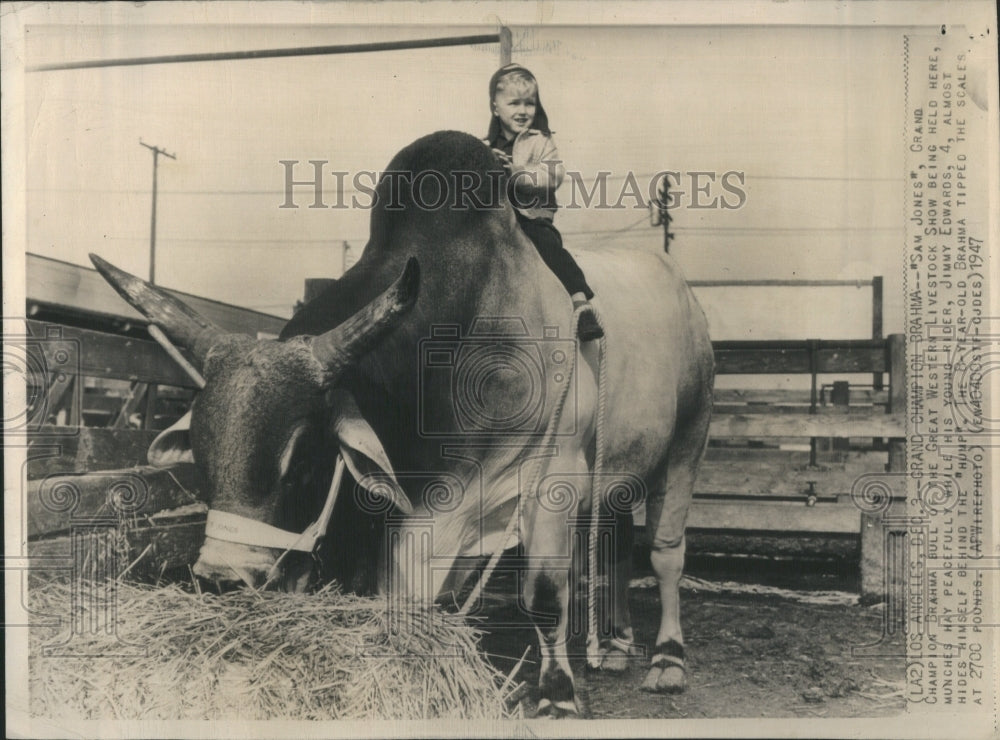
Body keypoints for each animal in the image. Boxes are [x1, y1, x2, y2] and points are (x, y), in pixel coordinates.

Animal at [86, 129, 712, 716]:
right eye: (203, 454)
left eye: (302, 462)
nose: (221, 580)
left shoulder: (550, 483)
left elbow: (544, 595)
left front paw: (557, 694)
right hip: (621, 468)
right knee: (618, 541)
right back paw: (616, 647)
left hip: (688, 440)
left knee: (663, 551)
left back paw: (666, 660)